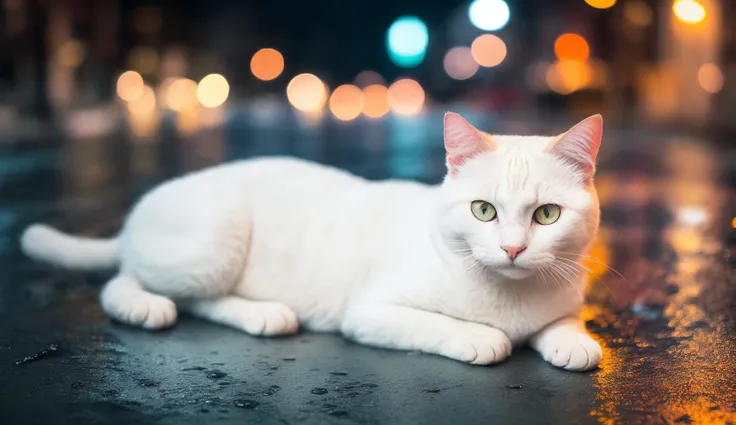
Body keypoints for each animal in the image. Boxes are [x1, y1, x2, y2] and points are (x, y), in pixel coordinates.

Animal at [20, 112, 604, 372]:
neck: (511, 298)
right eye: (484, 211)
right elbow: (453, 328)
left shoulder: (565, 296)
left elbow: (563, 321)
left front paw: (571, 340)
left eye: (547, 215)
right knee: (134, 282)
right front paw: (482, 336)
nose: (512, 249)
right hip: (213, 237)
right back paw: (165, 307)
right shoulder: (370, 312)